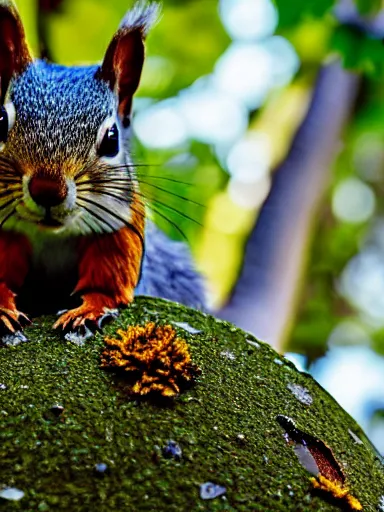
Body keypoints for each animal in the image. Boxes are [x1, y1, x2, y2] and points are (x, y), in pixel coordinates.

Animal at [0, 2, 206, 342]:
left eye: (112, 139)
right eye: (0, 121)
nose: (47, 190)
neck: (52, 235)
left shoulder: (118, 231)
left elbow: (107, 285)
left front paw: (88, 310)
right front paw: (3, 308)